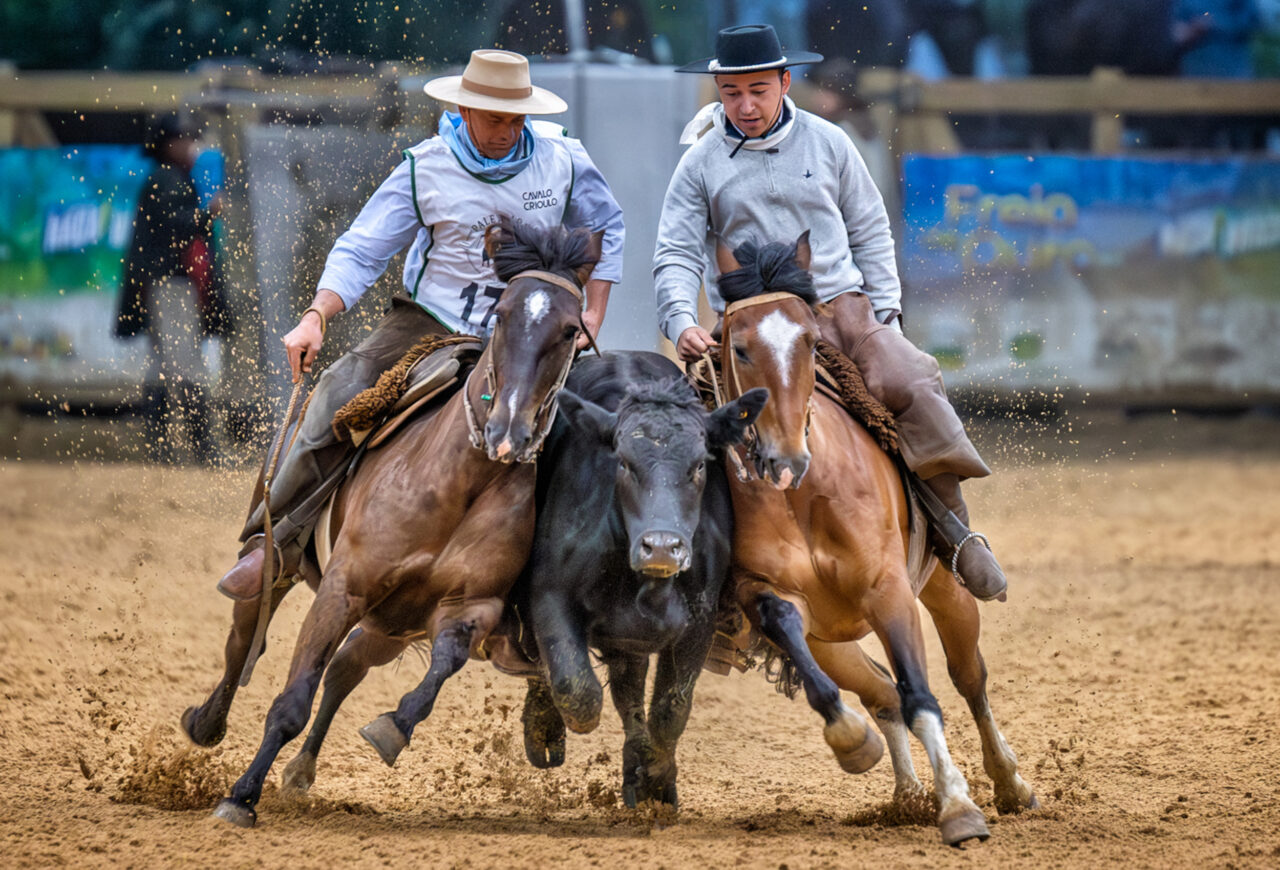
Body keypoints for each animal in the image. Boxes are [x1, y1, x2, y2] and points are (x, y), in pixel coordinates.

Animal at [206, 218, 604, 829]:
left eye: (569, 331)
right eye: (501, 315)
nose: (507, 431)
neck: (458, 483)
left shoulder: (469, 607)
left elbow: (440, 666)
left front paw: (392, 727)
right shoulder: (344, 588)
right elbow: (292, 700)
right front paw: (241, 796)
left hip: (391, 623)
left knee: (347, 667)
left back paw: (300, 771)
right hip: (280, 554)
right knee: (246, 631)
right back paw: (206, 722)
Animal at [509, 353, 762, 808]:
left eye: (699, 465)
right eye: (624, 463)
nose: (661, 548)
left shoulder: (699, 621)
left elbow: (669, 709)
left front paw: (657, 780)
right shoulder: (549, 596)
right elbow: (577, 691)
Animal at [716, 234, 1034, 844]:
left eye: (811, 340)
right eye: (739, 348)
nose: (786, 456)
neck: (805, 494)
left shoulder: (888, 591)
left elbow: (922, 695)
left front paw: (959, 807)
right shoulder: (770, 595)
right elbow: (800, 642)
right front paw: (852, 741)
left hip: (945, 589)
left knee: (968, 678)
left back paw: (1008, 783)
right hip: (833, 640)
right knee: (880, 691)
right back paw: (907, 796)